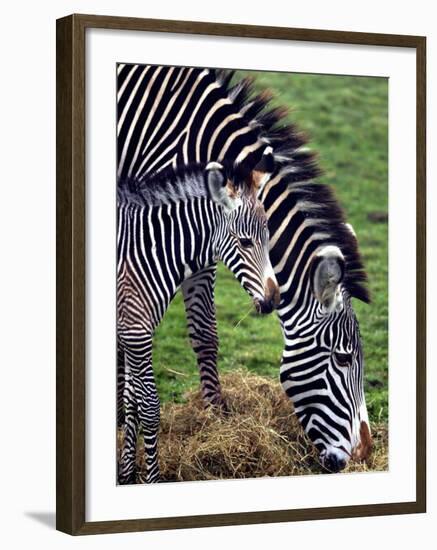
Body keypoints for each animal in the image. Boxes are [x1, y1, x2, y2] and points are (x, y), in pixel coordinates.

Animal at [116, 162, 280, 486]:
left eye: (269, 238)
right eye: (244, 242)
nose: (272, 301)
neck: (147, 252)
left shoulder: (131, 333)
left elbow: (131, 402)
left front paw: (127, 473)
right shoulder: (136, 333)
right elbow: (148, 406)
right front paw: (151, 480)